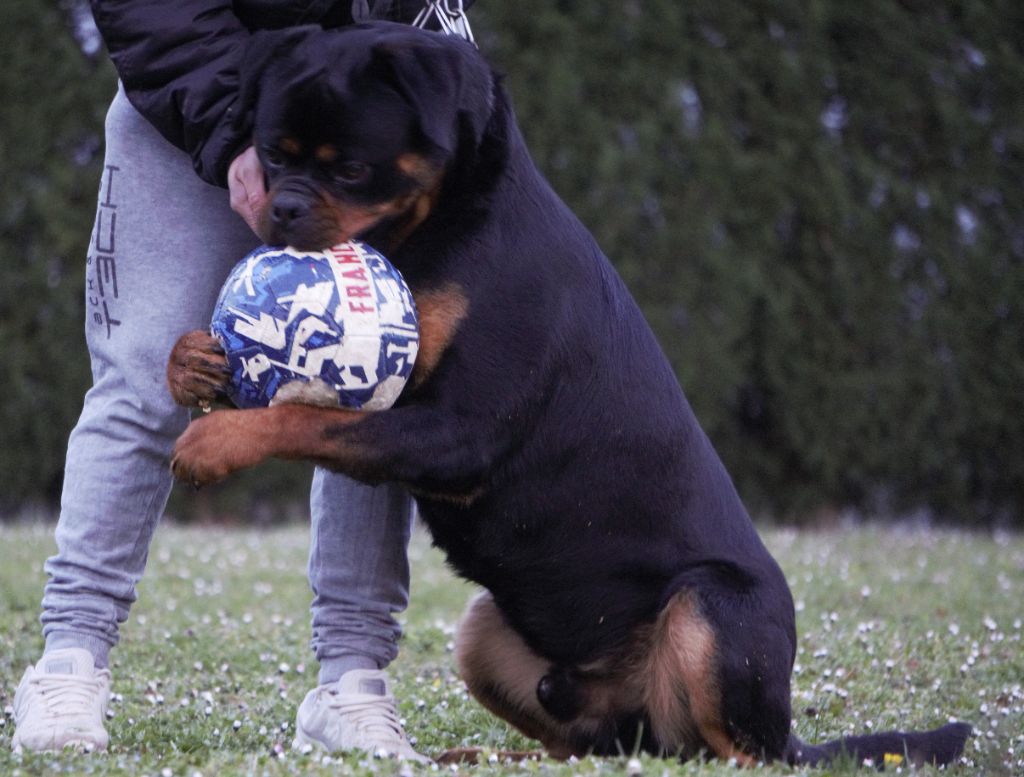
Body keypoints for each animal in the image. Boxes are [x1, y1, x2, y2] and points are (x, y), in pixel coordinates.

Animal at [167, 21, 966, 769]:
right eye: (273, 154)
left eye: (354, 168)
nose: (282, 208)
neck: (445, 222)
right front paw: (194, 366)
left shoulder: (460, 431)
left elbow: (307, 415)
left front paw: (216, 440)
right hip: (485, 635)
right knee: (598, 746)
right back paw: (480, 755)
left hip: (711, 608)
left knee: (740, 752)